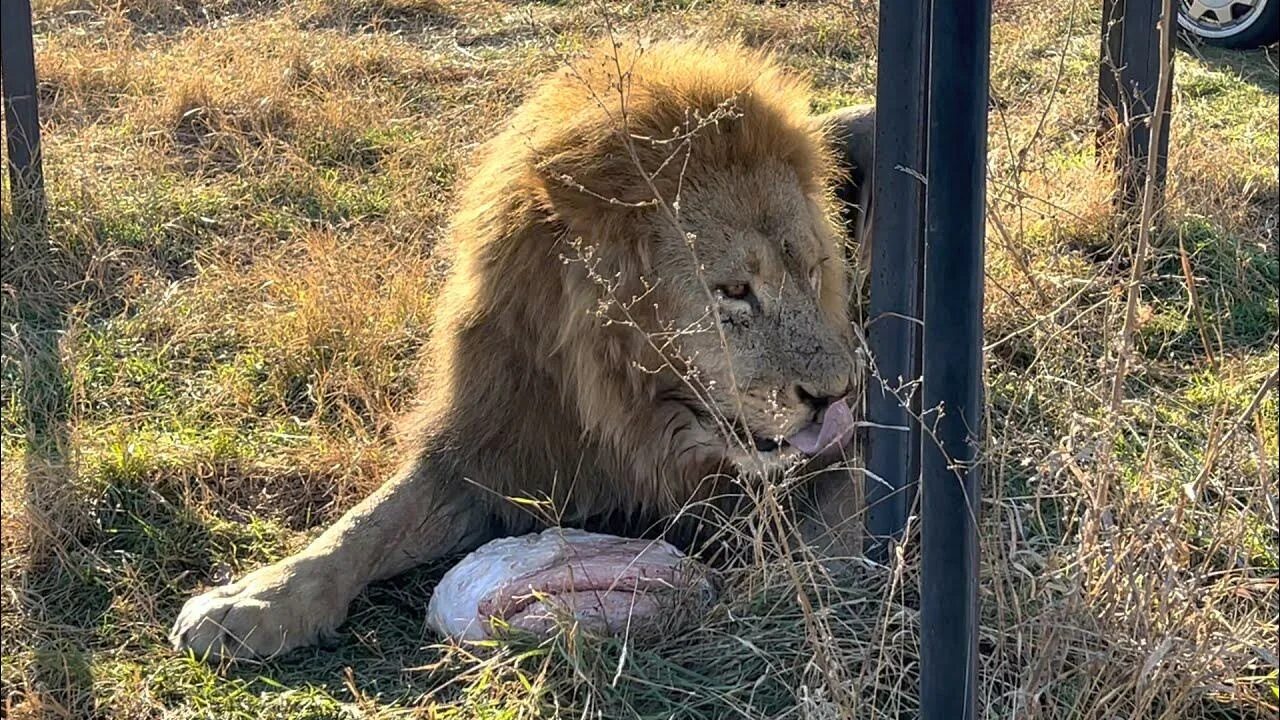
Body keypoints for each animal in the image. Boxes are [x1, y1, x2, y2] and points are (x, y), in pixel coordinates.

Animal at [172, 37, 880, 655]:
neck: (631, 412)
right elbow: (363, 526)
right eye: (733, 290)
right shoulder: (496, 440)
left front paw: (808, 573)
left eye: (814, 271)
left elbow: (837, 521)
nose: (838, 395)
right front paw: (252, 600)